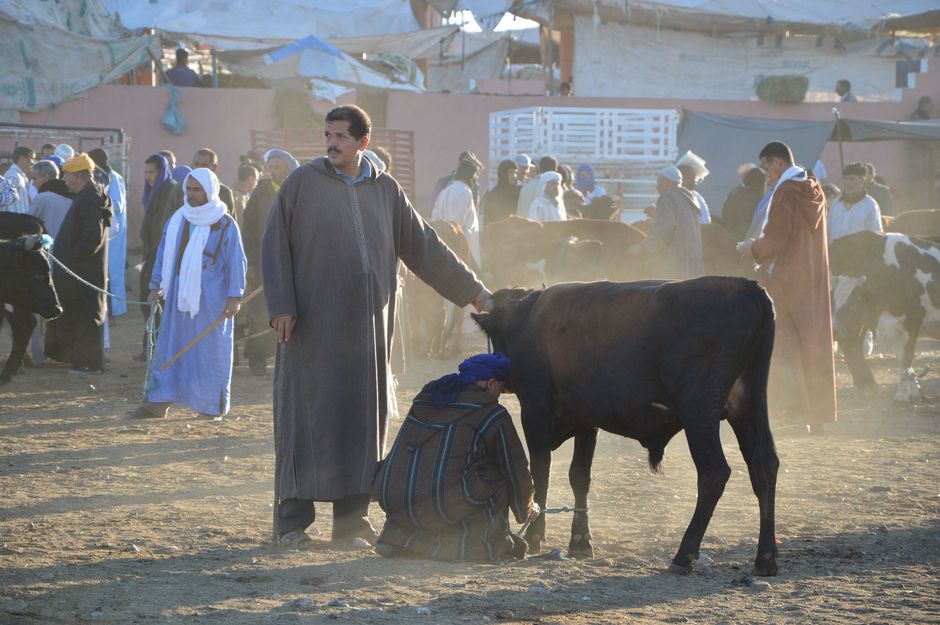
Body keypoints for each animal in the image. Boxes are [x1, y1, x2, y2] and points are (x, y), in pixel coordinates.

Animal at [474, 278, 784, 576]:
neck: (528, 318)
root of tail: (745, 286)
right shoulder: (586, 419)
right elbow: (579, 476)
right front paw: (580, 540)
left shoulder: (535, 410)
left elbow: (540, 474)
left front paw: (536, 535)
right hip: (746, 406)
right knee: (764, 466)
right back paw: (765, 557)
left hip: (699, 413)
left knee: (714, 473)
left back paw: (684, 555)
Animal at [828, 232, 940, 402]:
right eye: (832, 299)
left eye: (856, 301)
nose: (833, 330)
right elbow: (902, 358)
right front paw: (911, 391)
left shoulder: (913, 321)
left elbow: (906, 357)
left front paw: (904, 395)